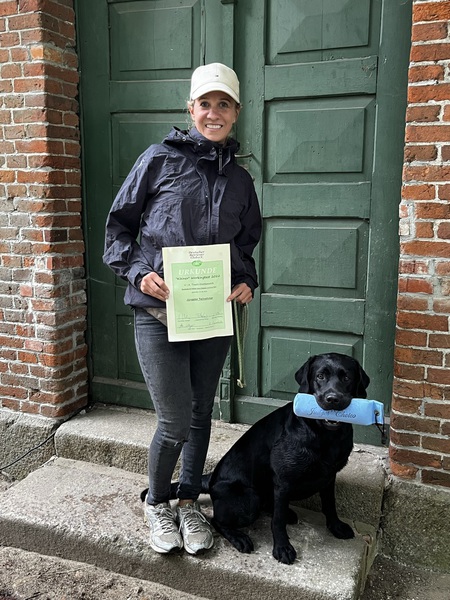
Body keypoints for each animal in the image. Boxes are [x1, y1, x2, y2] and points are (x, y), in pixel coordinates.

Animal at [142, 352, 370, 564]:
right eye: (320, 376)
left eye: (347, 377)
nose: (333, 399)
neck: (324, 435)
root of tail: (211, 478)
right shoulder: (283, 482)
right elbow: (277, 522)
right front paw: (282, 548)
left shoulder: (329, 476)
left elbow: (330, 505)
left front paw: (336, 526)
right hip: (251, 498)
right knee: (218, 520)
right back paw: (240, 538)